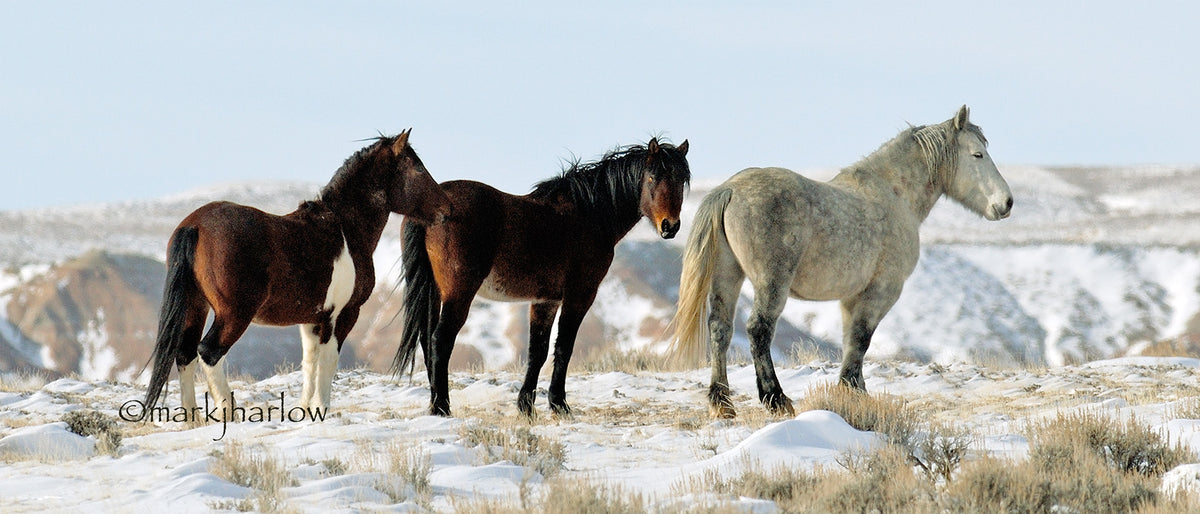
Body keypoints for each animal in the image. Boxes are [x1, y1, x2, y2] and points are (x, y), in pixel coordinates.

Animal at [142, 130, 452, 420]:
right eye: (418, 168)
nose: (446, 209)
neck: (344, 229)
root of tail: (195, 225)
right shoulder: (342, 315)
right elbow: (328, 361)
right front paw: (322, 409)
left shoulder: (311, 319)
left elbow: (310, 362)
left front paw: (306, 410)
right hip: (233, 314)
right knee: (208, 352)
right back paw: (229, 413)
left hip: (196, 306)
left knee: (185, 354)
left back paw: (191, 419)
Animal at [395, 137, 691, 418]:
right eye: (651, 177)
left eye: (681, 180)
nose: (670, 226)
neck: (589, 214)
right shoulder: (579, 295)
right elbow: (563, 347)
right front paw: (559, 404)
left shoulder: (545, 301)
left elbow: (537, 351)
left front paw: (526, 406)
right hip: (458, 293)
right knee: (440, 341)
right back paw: (442, 407)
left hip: (433, 291)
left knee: (427, 341)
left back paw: (435, 403)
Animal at [670, 106, 1012, 418]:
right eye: (978, 154)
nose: (1006, 203)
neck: (894, 195)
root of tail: (730, 189)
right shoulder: (881, 291)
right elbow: (861, 339)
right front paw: (850, 391)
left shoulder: (852, 297)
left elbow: (851, 341)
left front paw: (856, 392)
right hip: (771, 283)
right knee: (758, 330)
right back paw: (776, 399)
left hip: (727, 277)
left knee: (720, 329)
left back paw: (722, 403)